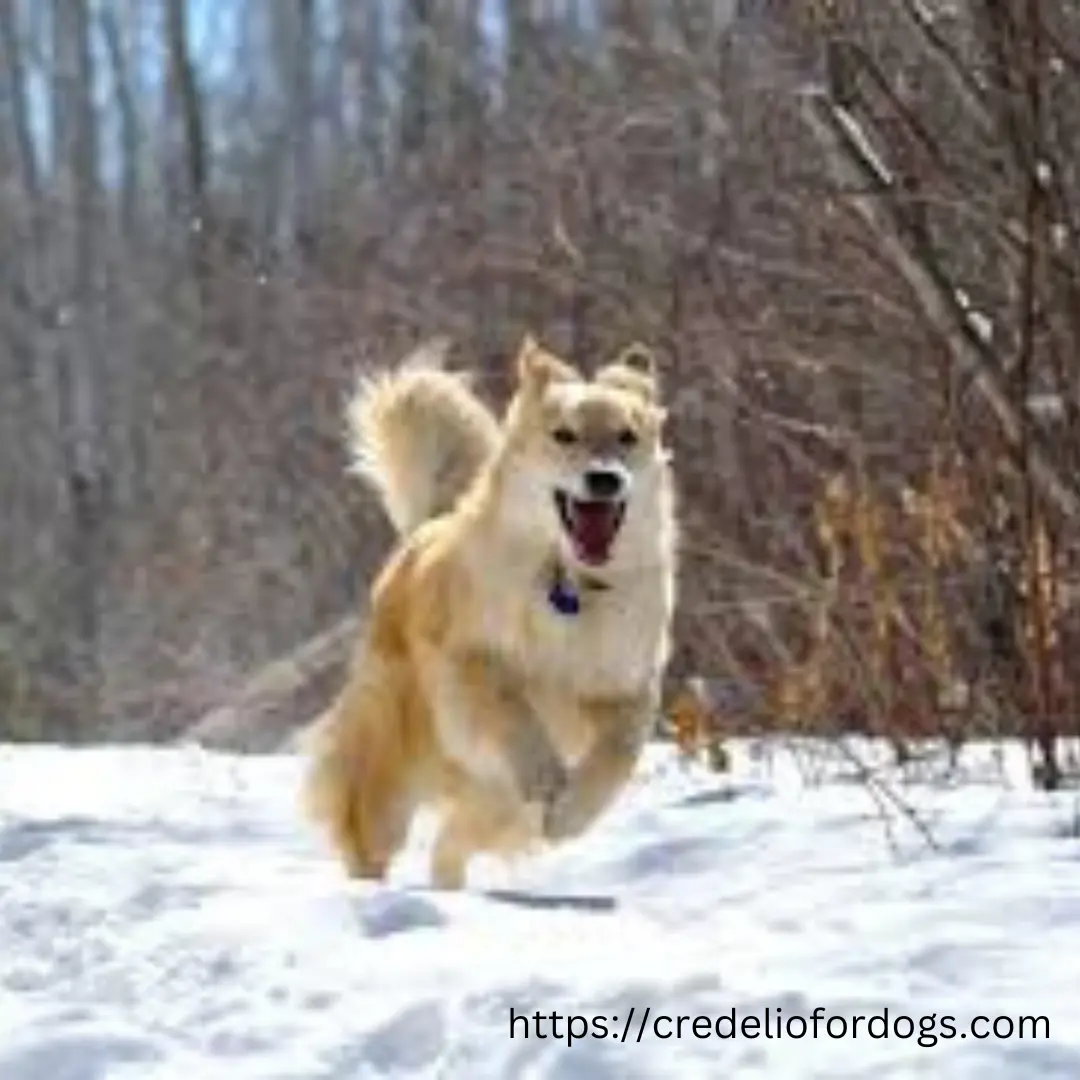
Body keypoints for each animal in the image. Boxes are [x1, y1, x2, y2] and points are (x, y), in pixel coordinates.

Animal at [302, 334, 673, 885]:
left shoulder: (627, 686)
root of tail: (424, 529)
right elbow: (512, 709)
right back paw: (375, 888)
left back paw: (449, 889)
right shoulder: (465, 658)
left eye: (627, 436)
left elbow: (618, 755)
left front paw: (570, 813)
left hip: (495, 805)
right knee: (368, 830)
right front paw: (545, 777)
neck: (567, 581)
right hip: (392, 755)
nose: (605, 479)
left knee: (449, 845)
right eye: (564, 435)